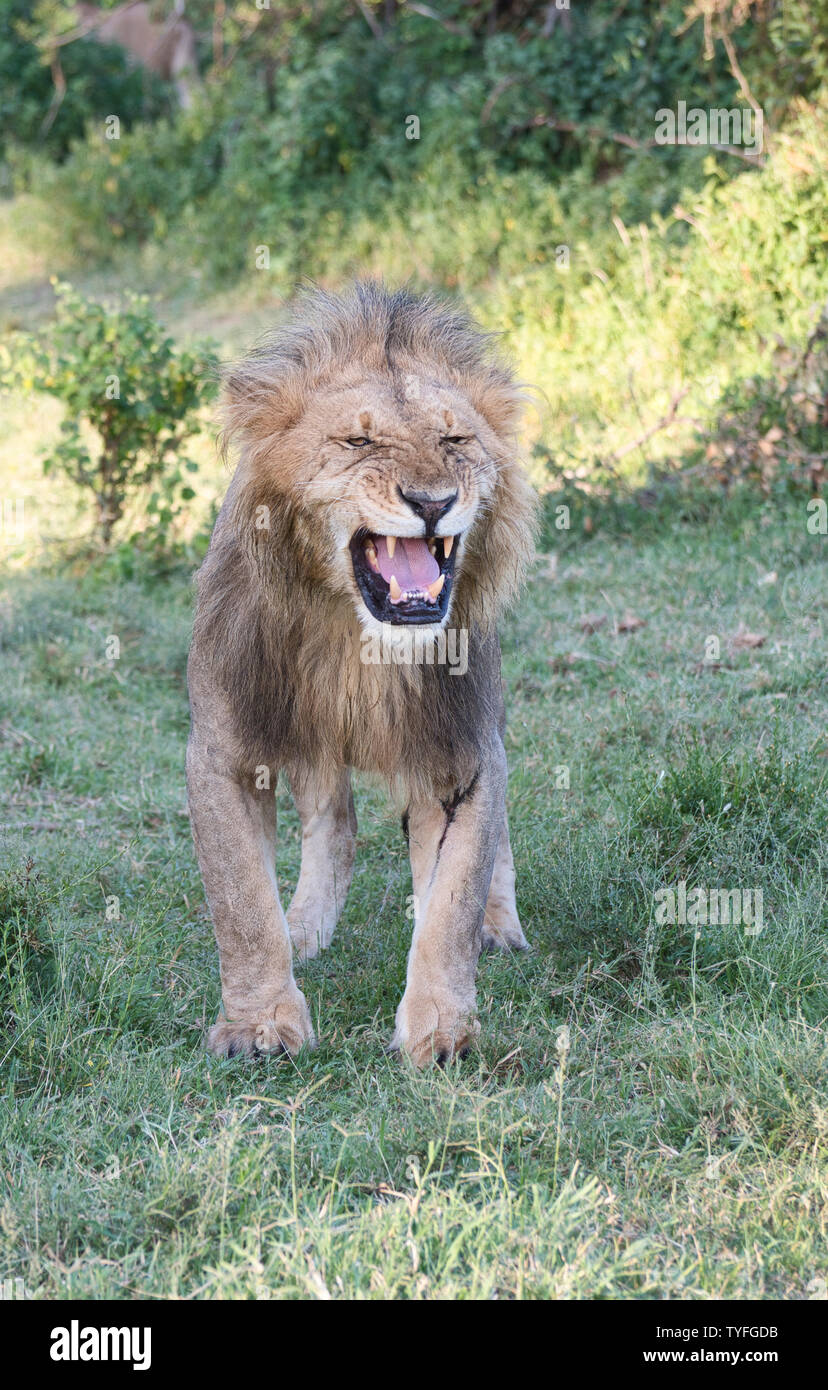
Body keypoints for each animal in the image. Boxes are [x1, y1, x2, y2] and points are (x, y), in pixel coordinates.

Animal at [186, 283, 536, 1066]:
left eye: (455, 442)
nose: (433, 502)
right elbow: (241, 902)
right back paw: (303, 930)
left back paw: (500, 927)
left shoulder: (460, 753)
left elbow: (452, 901)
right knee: (335, 825)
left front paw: (441, 1031)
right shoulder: (224, 750)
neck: (358, 640)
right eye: (358, 442)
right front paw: (259, 1024)